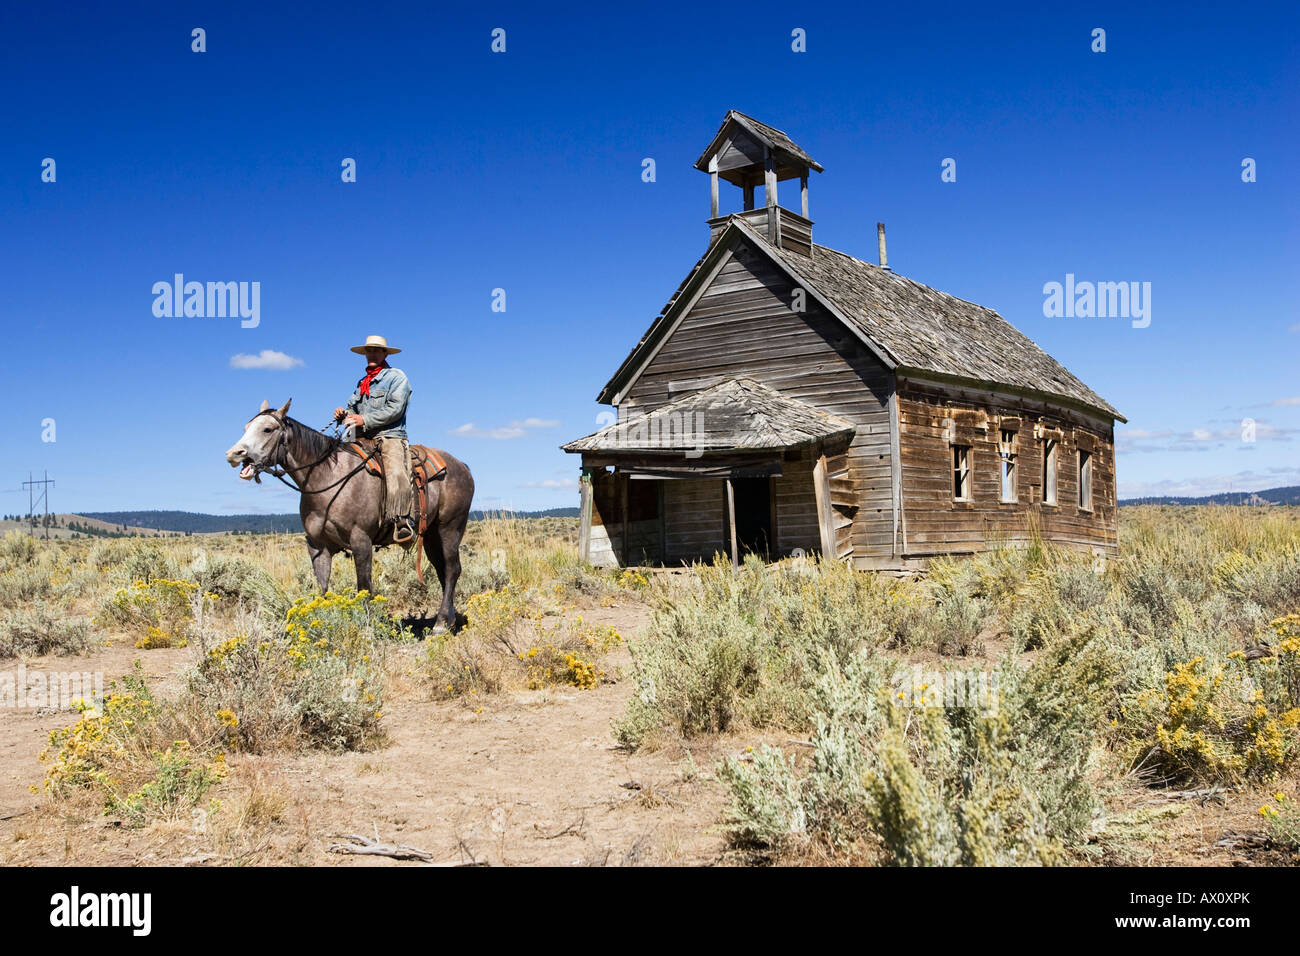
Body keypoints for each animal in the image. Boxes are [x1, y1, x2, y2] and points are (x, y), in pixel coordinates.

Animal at [226, 400, 475, 632]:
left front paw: (366, 627)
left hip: (450, 528)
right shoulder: (317, 546)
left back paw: (441, 624)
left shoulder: (361, 540)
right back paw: (449, 620)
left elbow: (363, 586)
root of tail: (462, 466)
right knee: (442, 571)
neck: (328, 477)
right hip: (431, 535)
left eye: (267, 429)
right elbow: (322, 588)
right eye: (246, 427)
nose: (234, 454)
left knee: (452, 569)